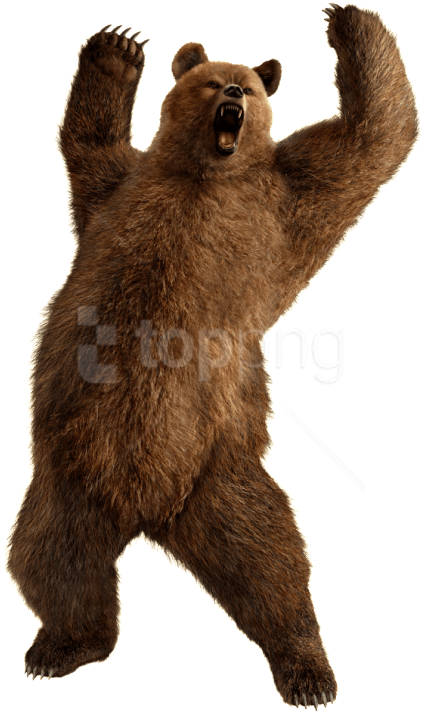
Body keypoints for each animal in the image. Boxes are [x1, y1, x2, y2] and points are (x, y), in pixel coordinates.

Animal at [4, 2, 420, 707]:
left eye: (247, 87)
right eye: (208, 82)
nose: (231, 97)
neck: (205, 174)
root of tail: (146, 511)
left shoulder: (280, 203)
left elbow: (370, 139)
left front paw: (348, 21)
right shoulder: (119, 193)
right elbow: (88, 147)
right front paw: (119, 49)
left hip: (217, 472)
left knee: (272, 557)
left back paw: (307, 668)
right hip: (67, 479)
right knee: (50, 559)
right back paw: (62, 645)